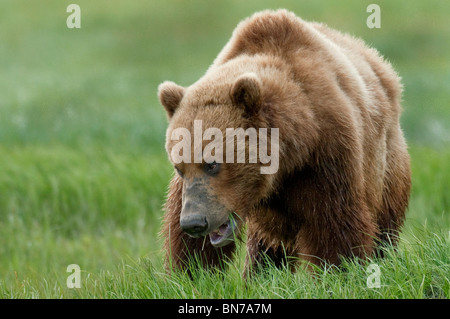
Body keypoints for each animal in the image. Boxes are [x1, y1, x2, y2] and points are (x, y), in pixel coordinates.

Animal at [157, 10, 412, 276]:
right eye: (179, 167)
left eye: (213, 164)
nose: (195, 222)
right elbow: (189, 245)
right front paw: (191, 272)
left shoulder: (326, 154)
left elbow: (333, 223)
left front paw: (338, 271)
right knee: (266, 247)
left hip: (385, 165)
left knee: (384, 226)